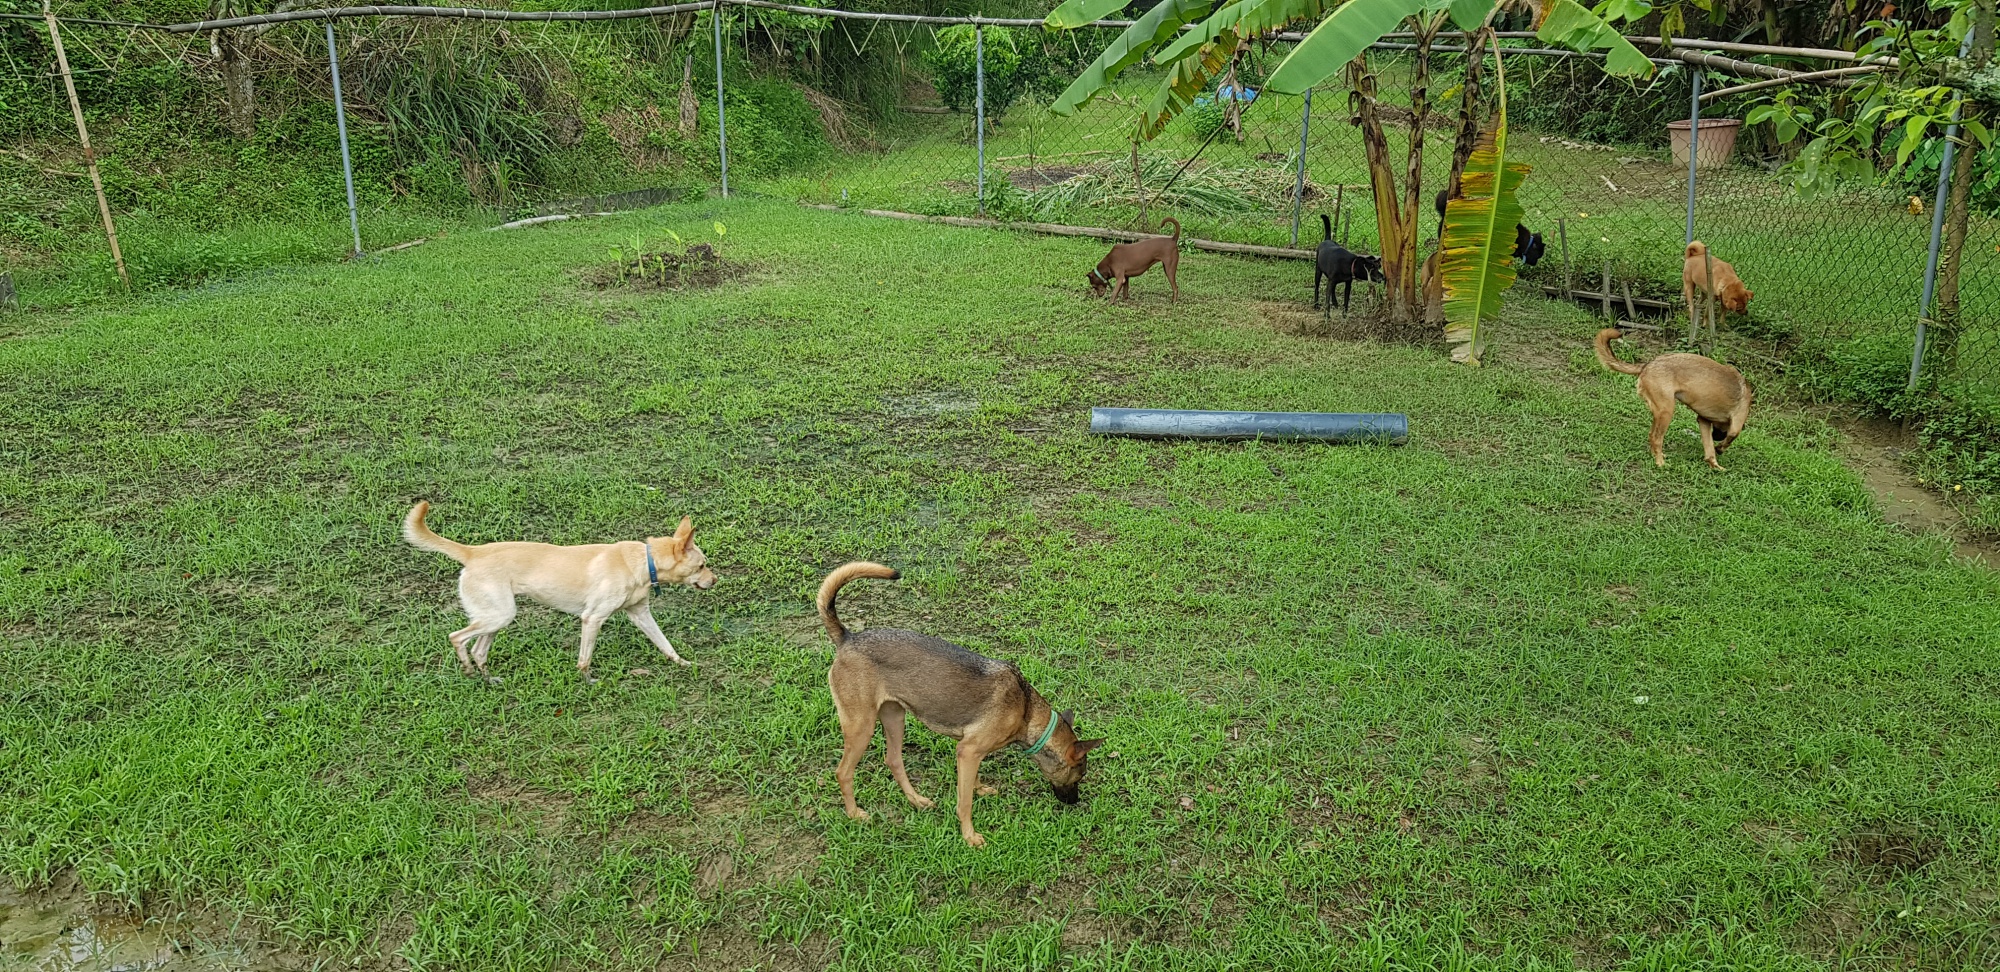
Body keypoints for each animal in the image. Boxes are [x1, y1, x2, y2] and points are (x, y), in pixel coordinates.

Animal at [816, 560, 1112, 848]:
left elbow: (970, 783)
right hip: (861, 726)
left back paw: (917, 800)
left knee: (893, 760)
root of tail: (847, 638)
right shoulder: (968, 751)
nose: (1074, 802)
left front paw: (979, 789)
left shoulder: (970, 753)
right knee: (843, 772)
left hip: (894, 718)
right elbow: (964, 802)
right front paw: (970, 836)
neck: (1026, 709)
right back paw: (855, 814)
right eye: (1080, 775)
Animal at [1592, 328, 1752, 472]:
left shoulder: (1703, 421)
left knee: (1651, 436)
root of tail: (1647, 365)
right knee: (1656, 438)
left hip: (1659, 413)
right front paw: (1719, 449)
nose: (1716, 437)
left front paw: (1714, 464)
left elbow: (1709, 449)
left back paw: (1658, 456)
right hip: (1667, 412)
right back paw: (1660, 463)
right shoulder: (1736, 424)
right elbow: (1731, 437)